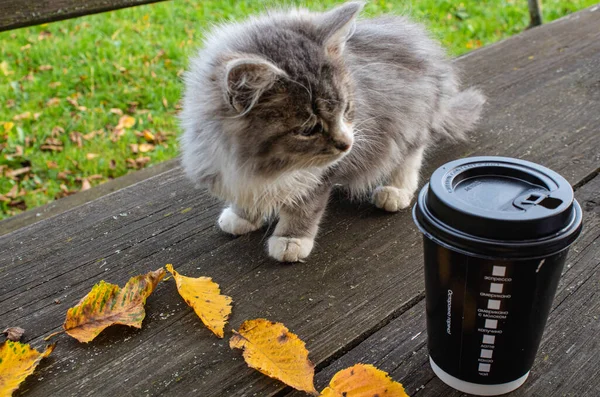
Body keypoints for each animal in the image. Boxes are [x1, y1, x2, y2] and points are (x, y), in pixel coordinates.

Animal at [178, 1, 482, 262]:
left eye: (346, 109)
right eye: (309, 129)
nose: (346, 144)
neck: (267, 166)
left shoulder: (321, 174)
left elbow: (305, 205)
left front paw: (291, 239)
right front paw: (243, 215)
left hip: (410, 119)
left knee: (411, 153)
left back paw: (395, 190)